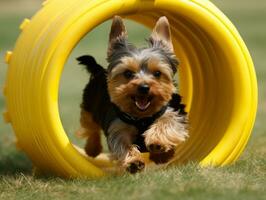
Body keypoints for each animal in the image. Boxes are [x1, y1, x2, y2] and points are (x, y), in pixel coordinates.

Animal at [76, 16, 188, 173]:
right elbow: (122, 144)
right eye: (128, 73)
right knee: (90, 126)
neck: (141, 117)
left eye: (157, 73)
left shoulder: (172, 111)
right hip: (89, 104)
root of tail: (99, 70)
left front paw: (158, 145)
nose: (144, 87)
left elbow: (167, 123)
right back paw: (92, 149)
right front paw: (134, 161)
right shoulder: (118, 126)